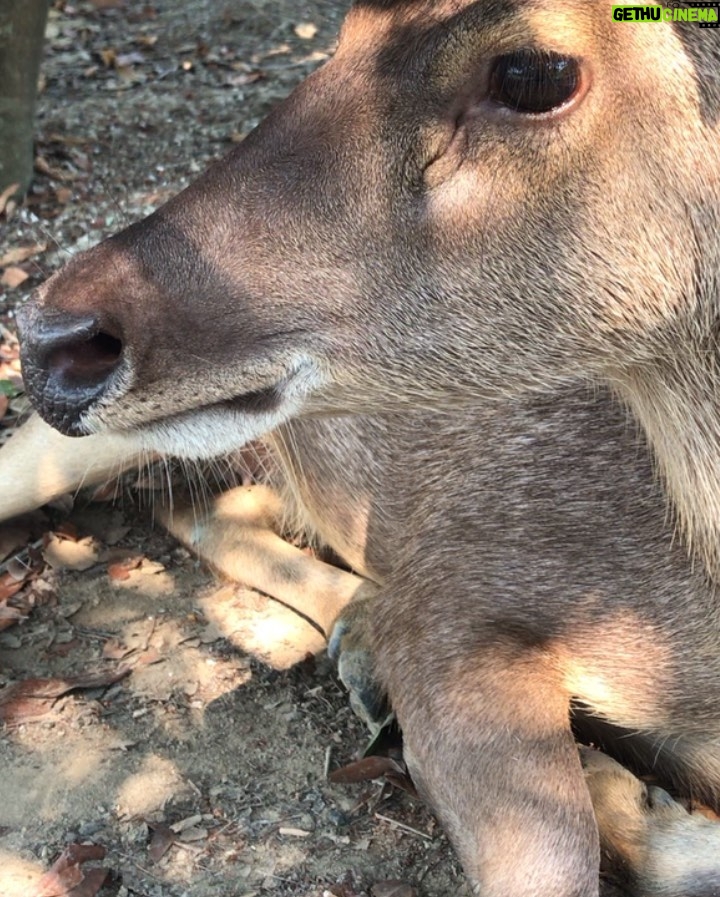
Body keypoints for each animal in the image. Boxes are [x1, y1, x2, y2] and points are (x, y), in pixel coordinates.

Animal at [1, 1, 720, 896]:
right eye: (348, 23)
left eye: (533, 73)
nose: (52, 336)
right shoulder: (466, 594)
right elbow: (556, 855)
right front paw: (614, 789)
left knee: (198, 503)